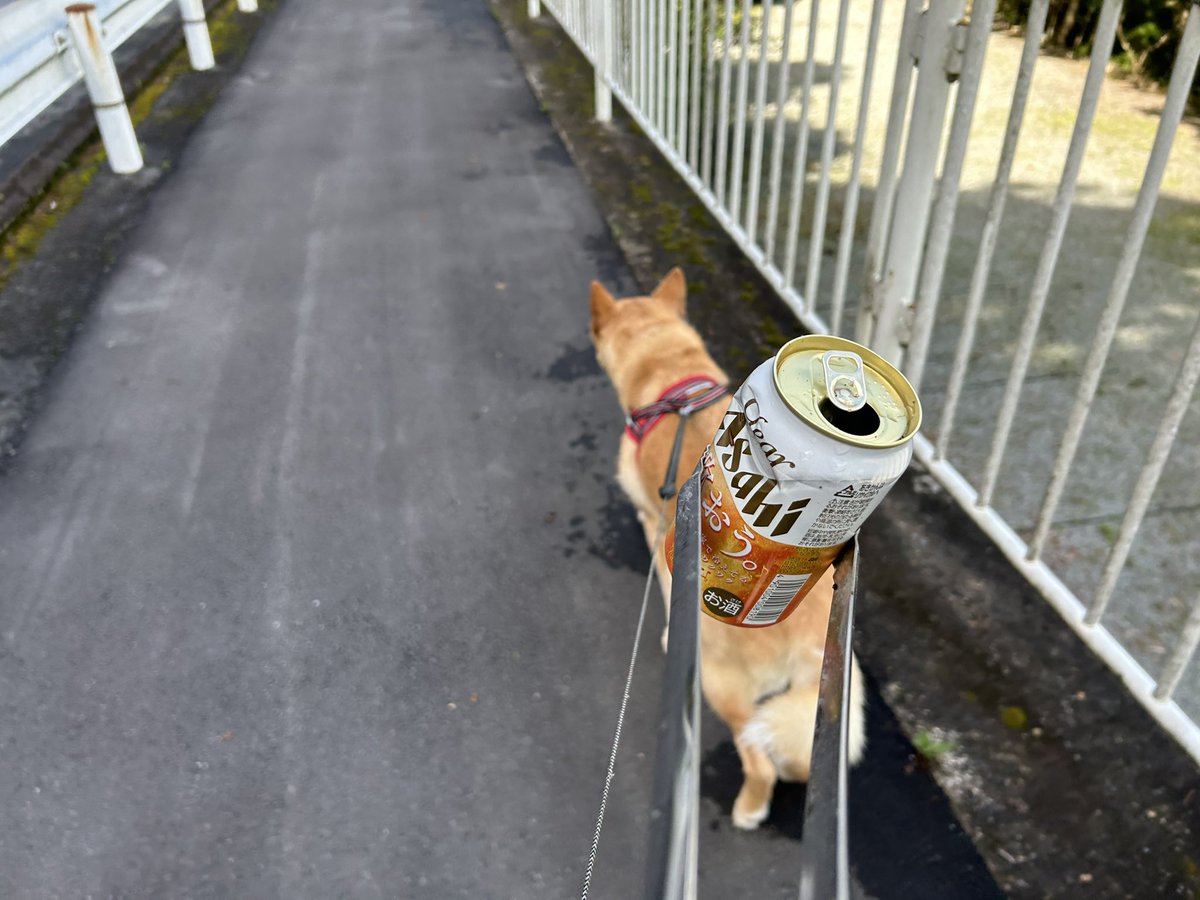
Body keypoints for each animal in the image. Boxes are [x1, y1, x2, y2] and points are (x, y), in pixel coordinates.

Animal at [588, 266, 864, 830]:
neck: (672, 375)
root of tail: (806, 635)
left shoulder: (653, 523)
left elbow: (666, 583)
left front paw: (670, 632)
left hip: (723, 688)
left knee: (760, 761)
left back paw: (749, 809)